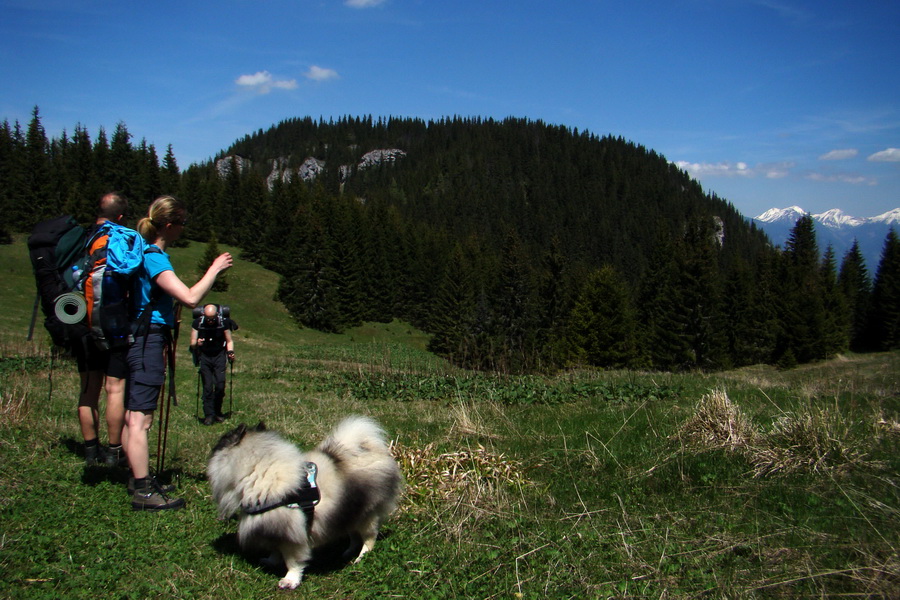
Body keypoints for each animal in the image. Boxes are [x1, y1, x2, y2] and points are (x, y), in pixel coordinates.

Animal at [207, 414, 404, 588]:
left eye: (222, 440)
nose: (212, 448)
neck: (258, 470)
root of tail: (371, 451)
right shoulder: (274, 529)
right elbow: (275, 550)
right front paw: (270, 561)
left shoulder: (291, 535)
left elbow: (292, 561)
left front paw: (290, 580)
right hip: (349, 511)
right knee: (354, 536)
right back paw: (347, 552)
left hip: (366, 515)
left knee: (369, 538)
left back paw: (361, 558)